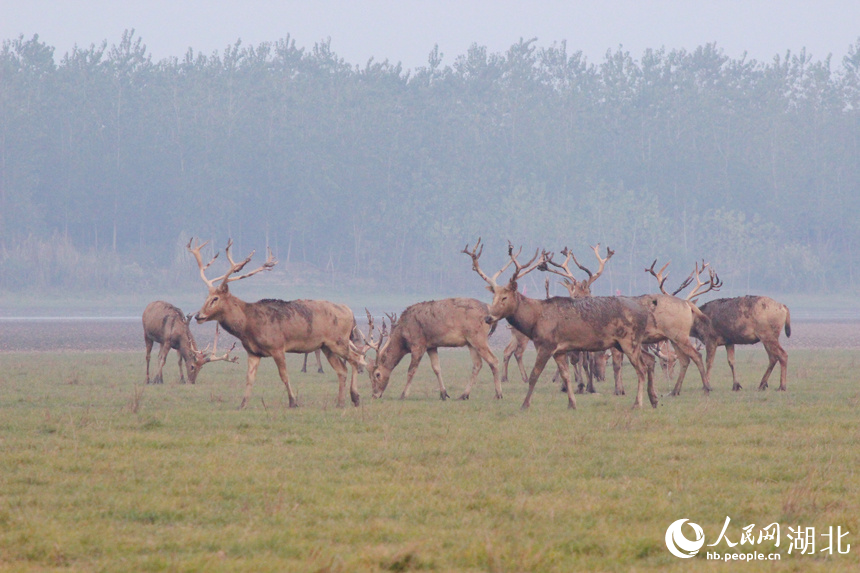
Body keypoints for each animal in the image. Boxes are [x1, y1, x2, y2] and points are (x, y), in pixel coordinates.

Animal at [186, 239, 364, 408]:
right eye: (206, 297)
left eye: (215, 299)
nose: (199, 316)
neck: (247, 326)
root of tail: (349, 311)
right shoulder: (253, 352)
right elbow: (249, 378)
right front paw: (242, 404)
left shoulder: (277, 346)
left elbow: (284, 375)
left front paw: (293, 402)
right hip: (326, 346)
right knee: (342, 369)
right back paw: (340, 402)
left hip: (338, 341)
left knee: (355, 359)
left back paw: (355, 397)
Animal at [358, 298, 504, 400]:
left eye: (377, 374)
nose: (375, 395)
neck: (403, 339)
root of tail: (490, 311)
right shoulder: (431, 346)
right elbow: (436, 368)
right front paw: (444, 394)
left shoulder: (418, 344)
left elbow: (411, 370)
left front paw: (403, 394)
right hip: (470, 342)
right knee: (478, 364)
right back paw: (464, 395)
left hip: (478, 337)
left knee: (494, 360)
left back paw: (498, 394)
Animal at [460, 239, 656, 408]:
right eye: (493, 297)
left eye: (504, 297)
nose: (488, 318)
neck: (534, 321)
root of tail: (643, 312)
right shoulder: (560, 350)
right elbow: (566, 375)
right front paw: (572, 403)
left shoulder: (546, 344)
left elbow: (534, 375)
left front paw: (525, 404)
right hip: (628, 343)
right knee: (648, 361)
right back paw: (653, 400)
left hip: (629, 340)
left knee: (641, 368)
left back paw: (638, 403)